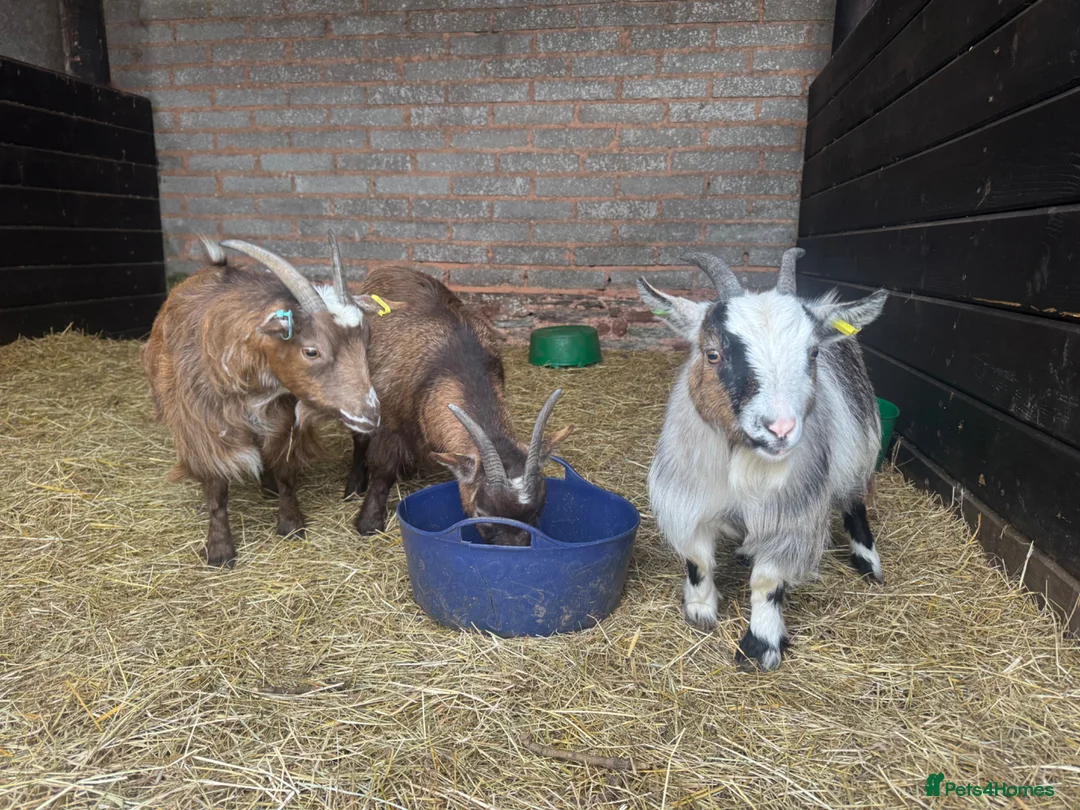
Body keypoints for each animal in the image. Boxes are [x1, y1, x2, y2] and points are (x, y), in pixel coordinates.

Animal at [143, 235, 399, 567]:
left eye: (365, 342)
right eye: (311, 351)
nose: (370, 413)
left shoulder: (283, 419)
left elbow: (285, 472)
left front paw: (291, 524)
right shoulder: (203, 428)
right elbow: (216, 490)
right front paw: (220, 551)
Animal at [342, 267, 573, 545]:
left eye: (539, 510)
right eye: (482, 512)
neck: (453, 360)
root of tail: (388, 269)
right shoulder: (388, 420)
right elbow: (383, 469)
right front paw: (369, 522)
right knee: (359, 437)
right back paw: (354, 486)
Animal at [637, 249, 887, 670]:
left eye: (812, 352)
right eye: (713, 354)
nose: (780, 429)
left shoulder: (790, 514)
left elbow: (768, 581)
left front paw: (760, 645)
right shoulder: (687, 499)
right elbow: (697, 559)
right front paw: (700, 609)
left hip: (859, 449)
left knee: (855, 502)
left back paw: (869, 563)